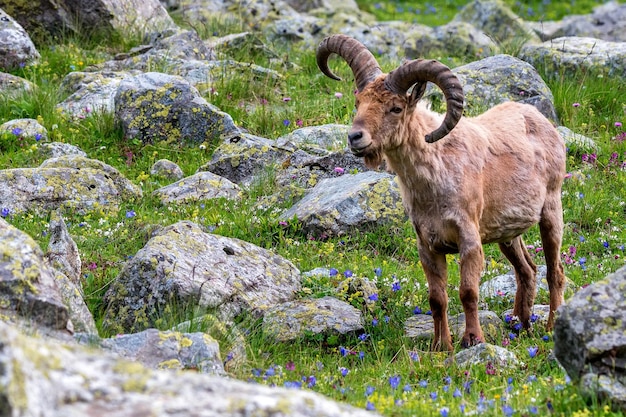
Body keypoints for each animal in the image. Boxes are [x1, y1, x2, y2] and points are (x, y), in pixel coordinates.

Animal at [316, 34, 564, 350]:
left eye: (395, 108)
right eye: (358, 101)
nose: (355, 137)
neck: (435, 174)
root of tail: (541, 120)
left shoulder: (469, 238)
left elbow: (468, 292)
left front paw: (473, 339)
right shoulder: (427, 244)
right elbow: (437, 299)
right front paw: (440, 345)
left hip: (552, 210)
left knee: (554, 272)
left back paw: (551, 326)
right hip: (507, 232)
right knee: (527, 270)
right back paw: (521, 325)